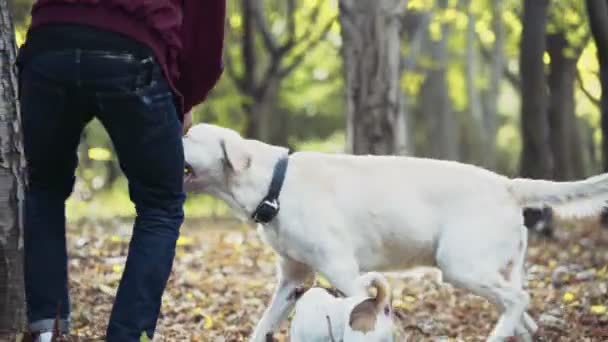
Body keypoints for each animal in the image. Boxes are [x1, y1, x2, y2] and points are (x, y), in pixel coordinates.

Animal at [182, 123, 608, 342]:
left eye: (187, 137)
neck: (276, 185)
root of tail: (507, 184)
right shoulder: (292, 280)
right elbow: (261, 327)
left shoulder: (345, 275)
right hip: (491, 269)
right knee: (523, 315)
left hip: (461, 265)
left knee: (519, 301)